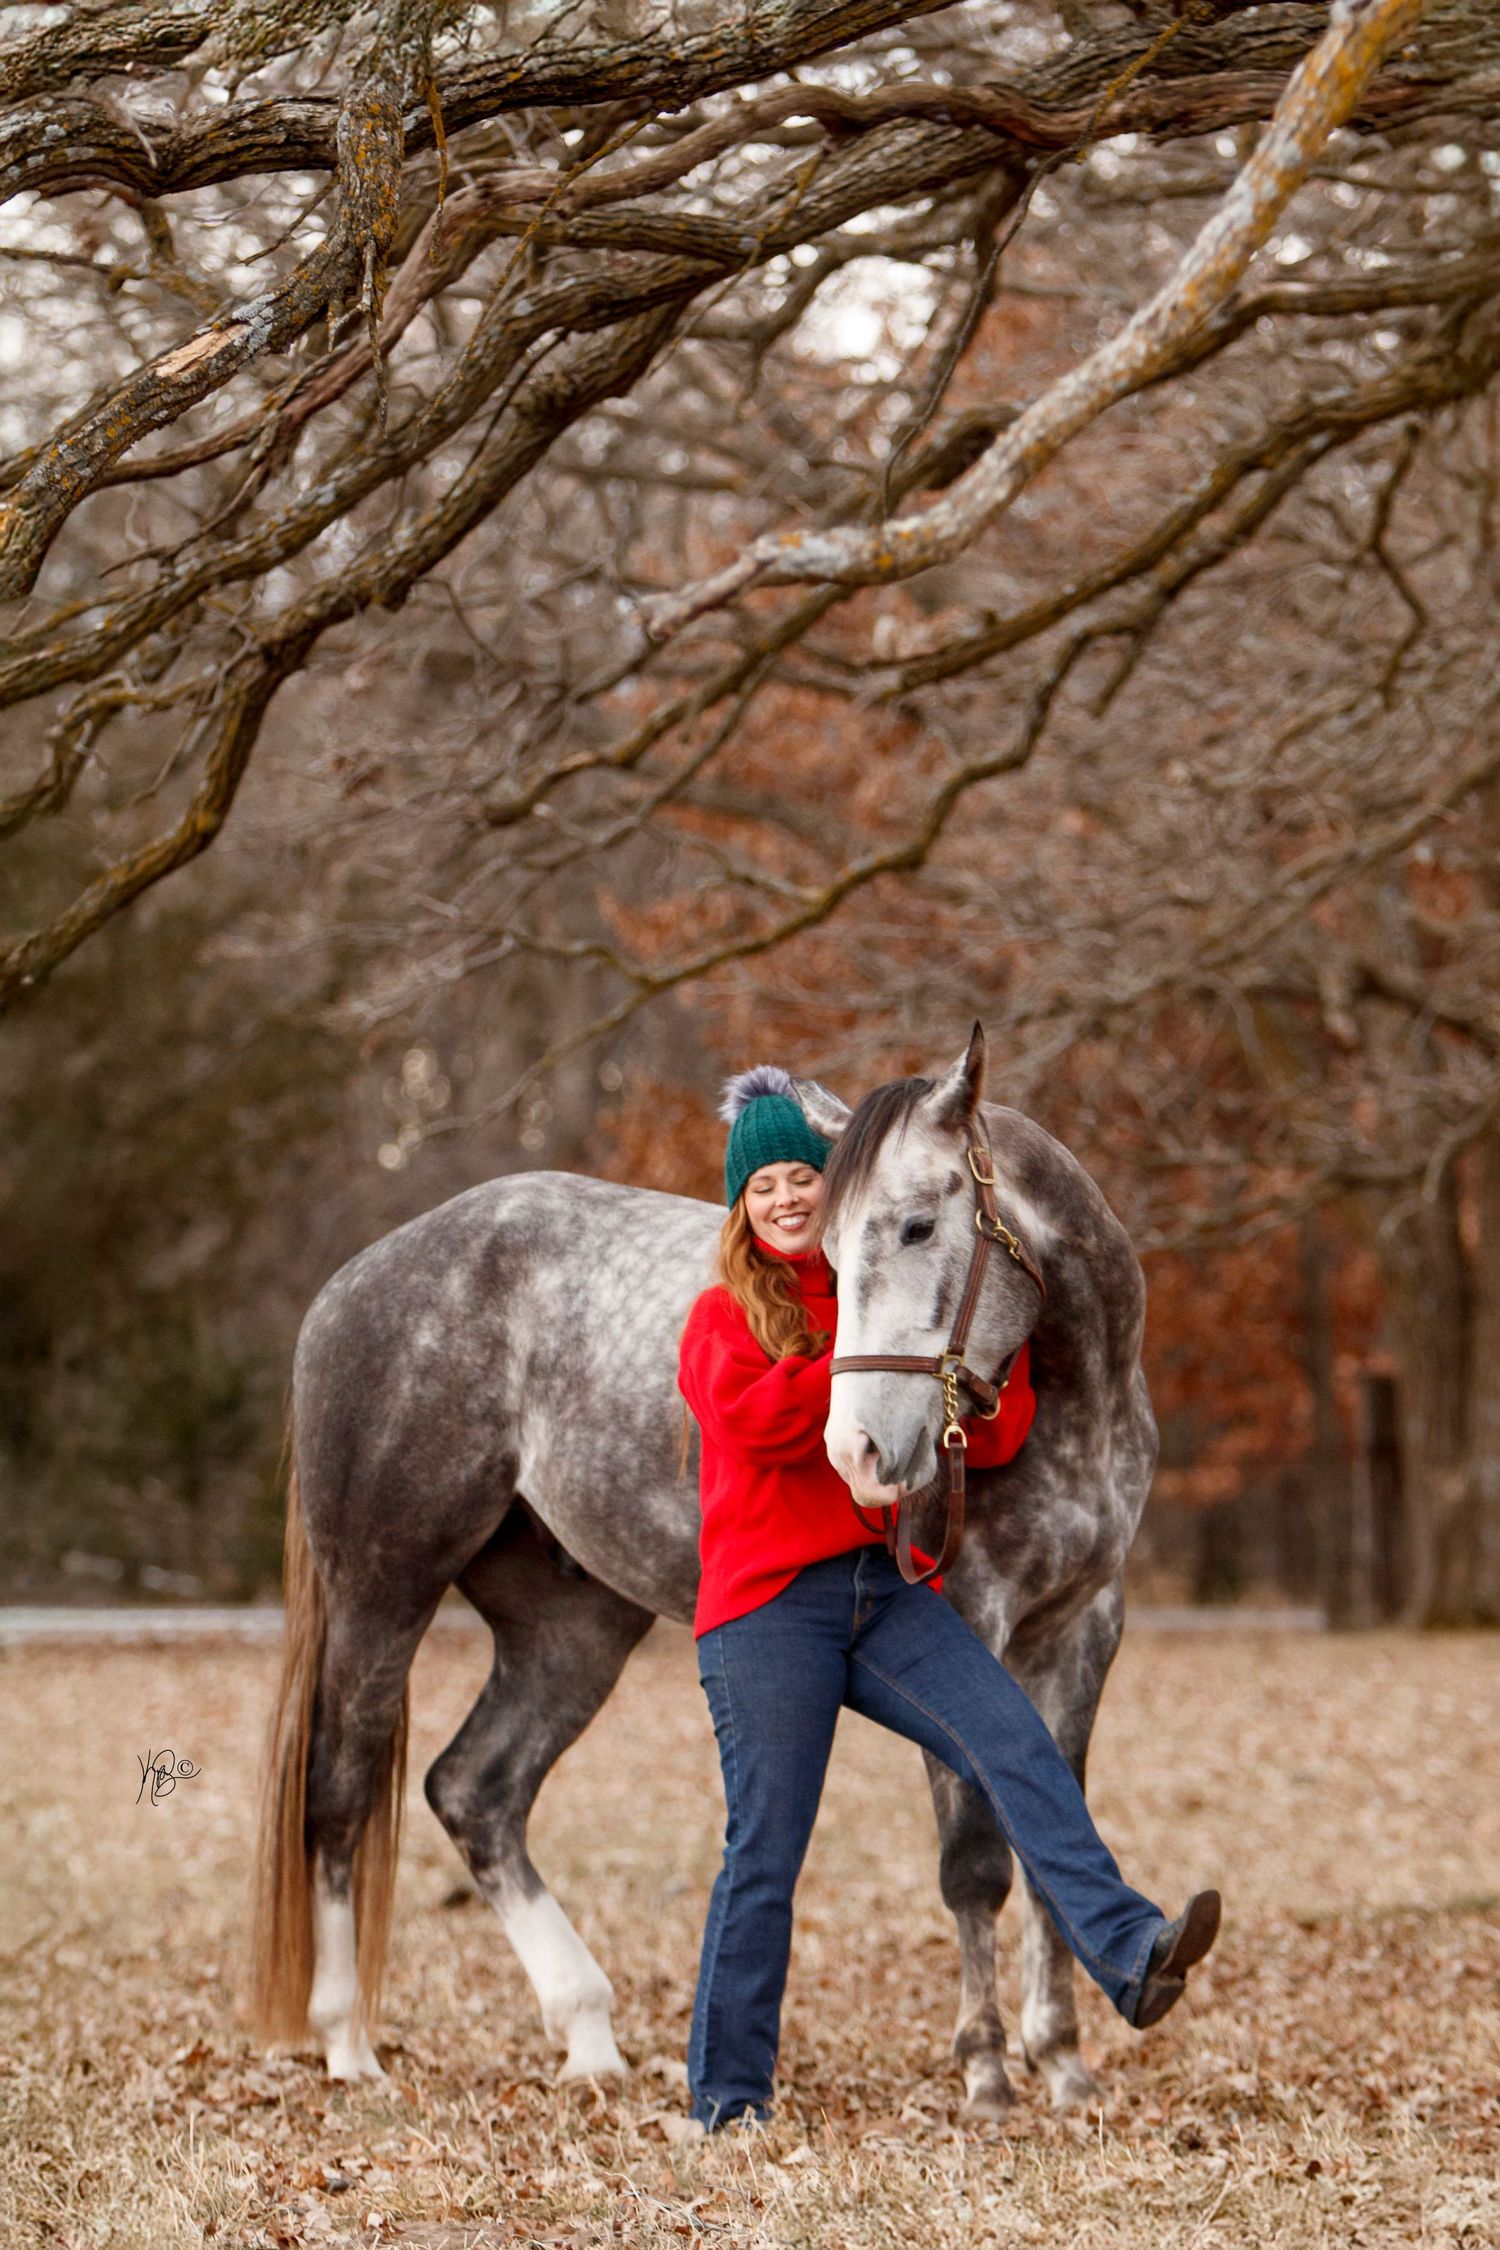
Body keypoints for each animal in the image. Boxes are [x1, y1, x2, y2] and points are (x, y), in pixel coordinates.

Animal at [250, 1025, 1157, 2119]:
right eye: (829, 1249)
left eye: (917, 1227)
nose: (859, 1450)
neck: (1076, 1403)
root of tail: (348, 1289)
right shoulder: (972, 1617)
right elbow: (977, 1858)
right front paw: (985, 2069)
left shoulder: (1083, 1627)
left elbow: (1050, 1825)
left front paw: (1062, 2060)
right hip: (382, 1590)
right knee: (340, 1790)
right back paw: (349, 2044)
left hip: (572, 1630)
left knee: (476, 1791)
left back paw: (587, 2033)